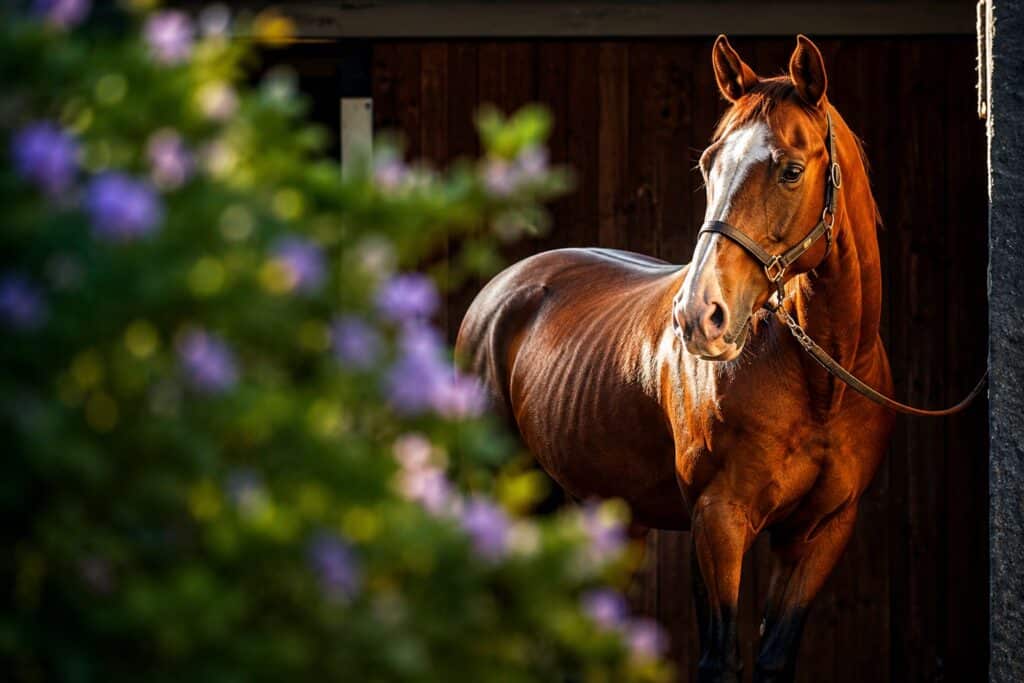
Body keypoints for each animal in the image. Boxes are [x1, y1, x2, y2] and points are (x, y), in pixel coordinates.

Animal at [456, 35, 894, 683]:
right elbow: (718, 657)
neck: (823, 382)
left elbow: (774, 656)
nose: (698, 316)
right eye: (709, 164)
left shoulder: (822, 531)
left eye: (791, 169)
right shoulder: (717, 519)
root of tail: (500, 291)